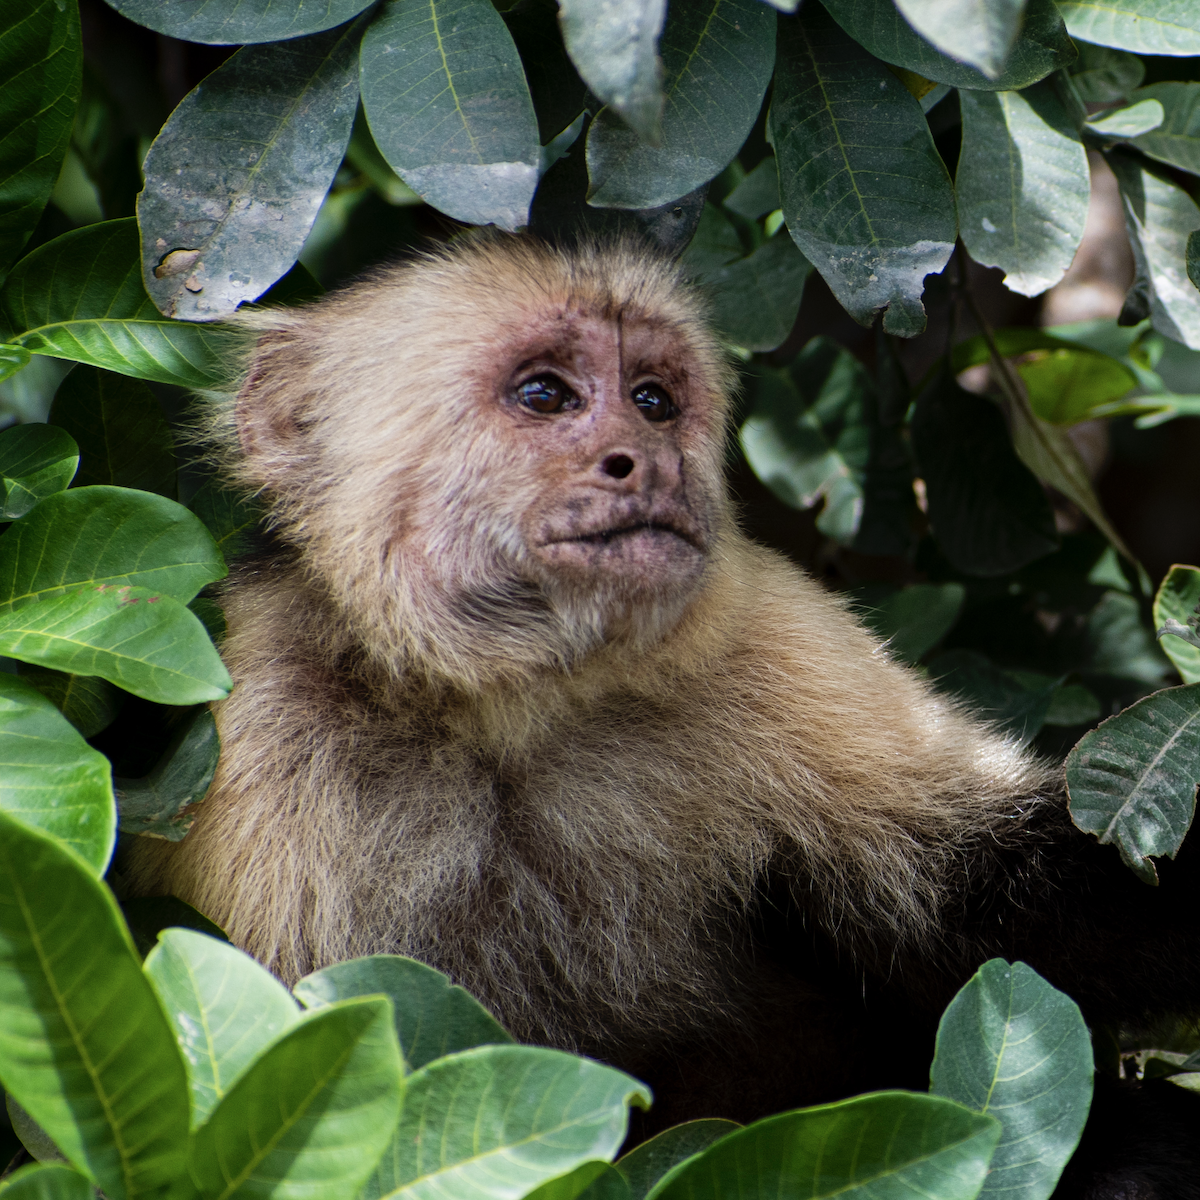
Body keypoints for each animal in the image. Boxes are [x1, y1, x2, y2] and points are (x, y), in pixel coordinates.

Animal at [127, 234, 1200, 1195]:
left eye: (653, 400)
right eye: (546, 395)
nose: (643, 459)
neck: (515, 712)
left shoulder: (765, 627)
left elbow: (990, 901)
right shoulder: (258, 747)